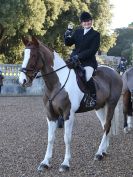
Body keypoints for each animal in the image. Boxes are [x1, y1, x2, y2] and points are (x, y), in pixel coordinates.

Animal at [18, 36, 122, 173]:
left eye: (34, 55)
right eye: (24, 54)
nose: (23, 81)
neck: (56, 84)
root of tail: (114, 72)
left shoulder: (68, 114)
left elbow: (67, 138)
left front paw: (65, 164)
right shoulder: (50, 115)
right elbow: (50, 138)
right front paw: (45, 163)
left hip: (111, 104)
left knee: (107, 125)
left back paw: (99, 153)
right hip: (99, 107)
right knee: (105, 125)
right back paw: (103, 151)